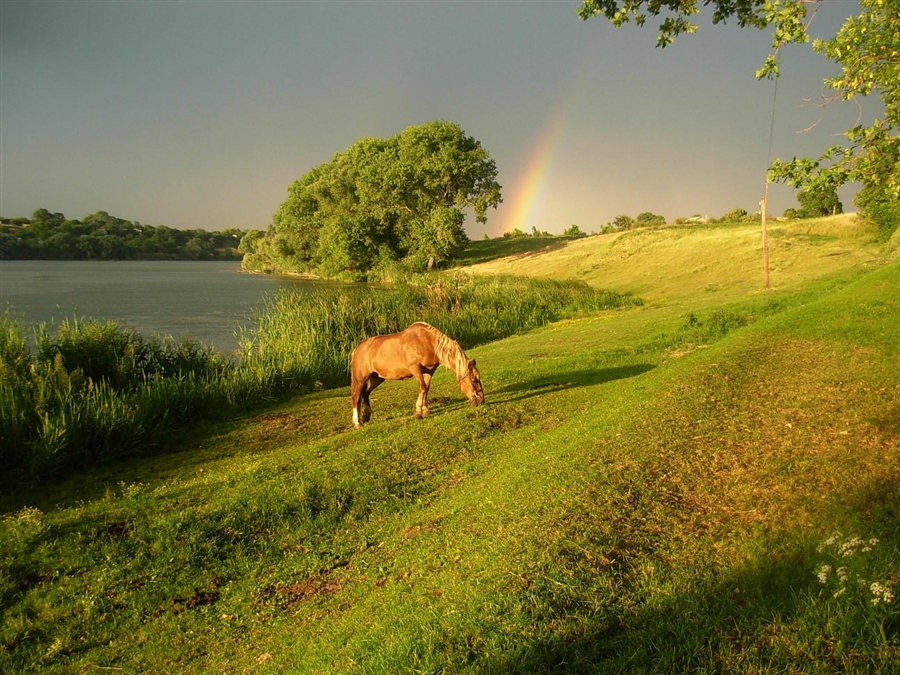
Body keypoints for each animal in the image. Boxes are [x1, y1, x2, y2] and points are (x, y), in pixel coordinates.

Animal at [348, 322, 486, 428]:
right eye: (474, 379)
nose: (481, 400)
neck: (428, 342)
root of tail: (357, 349)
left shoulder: (429, 371)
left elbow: (426, 388)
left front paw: (425, 410)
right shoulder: (415, 368)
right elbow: (423, 387)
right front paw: (418, 412)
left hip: (377, 378)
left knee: (365, 393)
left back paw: (365, 416)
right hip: (360, 378)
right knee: (356, 396)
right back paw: (357, 423)